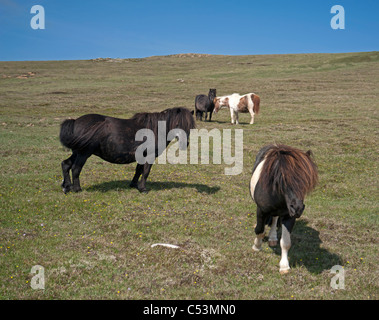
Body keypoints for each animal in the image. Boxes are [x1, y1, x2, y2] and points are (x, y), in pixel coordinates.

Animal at [60, 107, 196, 192]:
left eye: (190, 125)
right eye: (178, 124)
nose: (185, 144)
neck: (154, 130)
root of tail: (75, 122)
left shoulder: (142, 155)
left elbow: (138, 170)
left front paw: (134, 185)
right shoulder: (150, 155)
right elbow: (145, 172)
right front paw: (143, 189)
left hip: (77, 152)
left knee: (66, 164)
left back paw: (66, 186)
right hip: (83, 153)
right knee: (75, 168)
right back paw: (77, 189)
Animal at [251, 144, 320, 274]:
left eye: (306, 181)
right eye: (283, 180)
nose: (297, 208)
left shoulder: (289, 216)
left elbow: (286, 242)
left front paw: (284, 266)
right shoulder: (261, 211)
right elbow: (259, 230)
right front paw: (256, 246)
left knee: (274, 219)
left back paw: (273, 238)